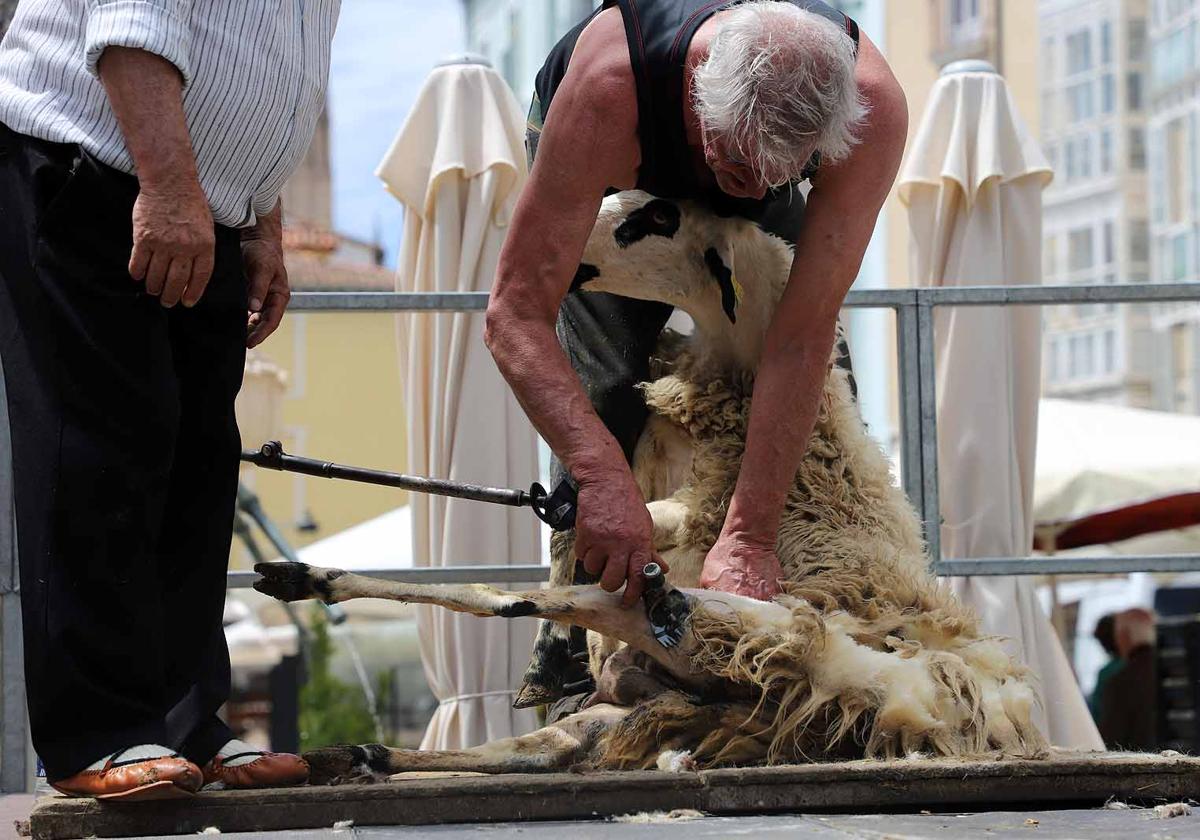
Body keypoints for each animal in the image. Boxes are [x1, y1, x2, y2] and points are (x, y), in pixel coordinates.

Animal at [255, 190, 1051, 782]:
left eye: (653, 219)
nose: (550, 241)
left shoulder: (694, 517)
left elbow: (581, 544)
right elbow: (585, 521)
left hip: (737, 626)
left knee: (526, 600)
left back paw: (305, 581)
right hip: (631, 702)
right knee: (534, 742)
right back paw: (353, 750)